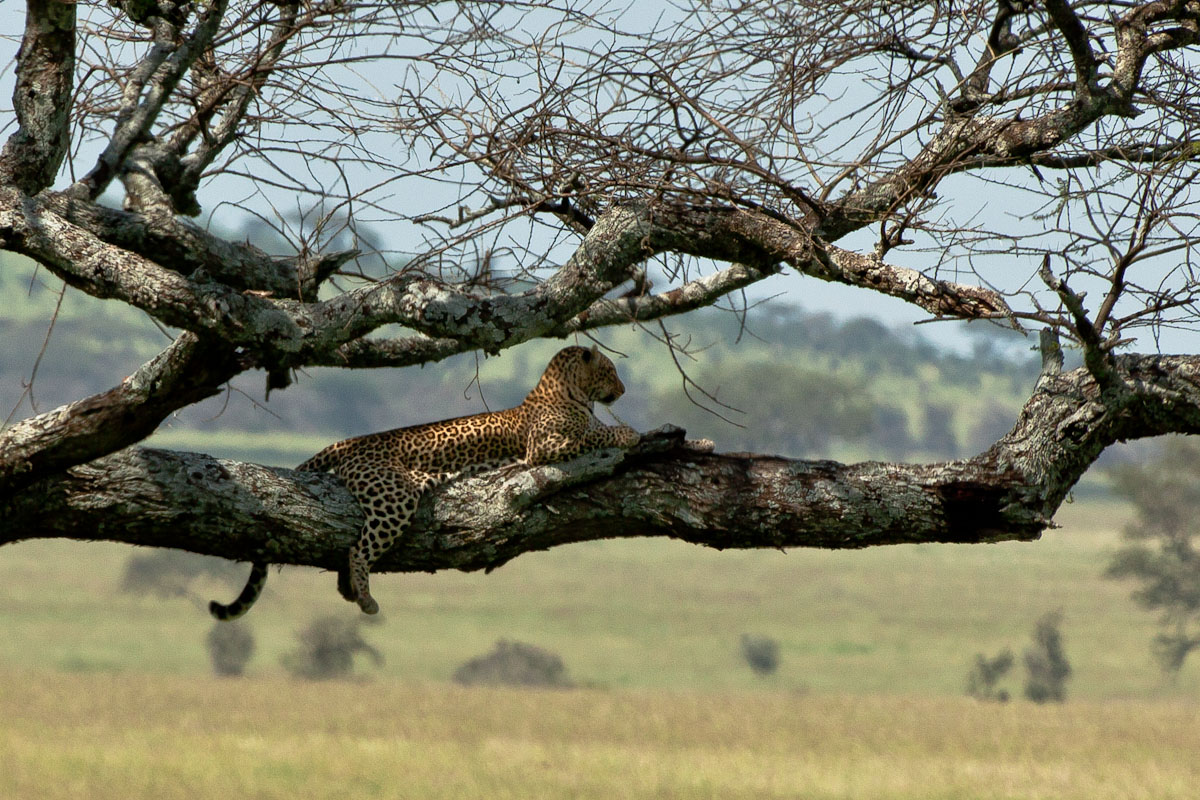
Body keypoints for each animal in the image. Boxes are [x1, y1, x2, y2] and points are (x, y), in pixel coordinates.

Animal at [208, 345, 638, 618]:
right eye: (611, 371)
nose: (623, 390)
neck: (574, 394)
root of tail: (350, 441)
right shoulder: (546, 446)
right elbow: (597, 434)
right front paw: (629, 433)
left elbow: (596, 430)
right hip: (394, 496)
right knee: (358, 549)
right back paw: (365, 599)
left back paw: (351, 591)